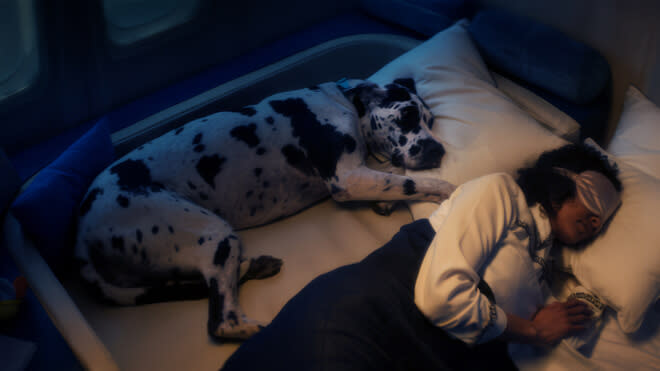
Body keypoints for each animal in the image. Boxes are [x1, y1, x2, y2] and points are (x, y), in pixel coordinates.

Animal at [72, 78, 454, 342]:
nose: (438, 150)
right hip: (213, 233)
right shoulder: (347, 178)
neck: (341, 101)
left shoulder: (359, 175)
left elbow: (393, 178)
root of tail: (83, 231)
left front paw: (386, 199)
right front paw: (453, 193)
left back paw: (253, 265)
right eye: (406, 116)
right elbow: (414, 181)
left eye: (431, 119)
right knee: (222, 323)